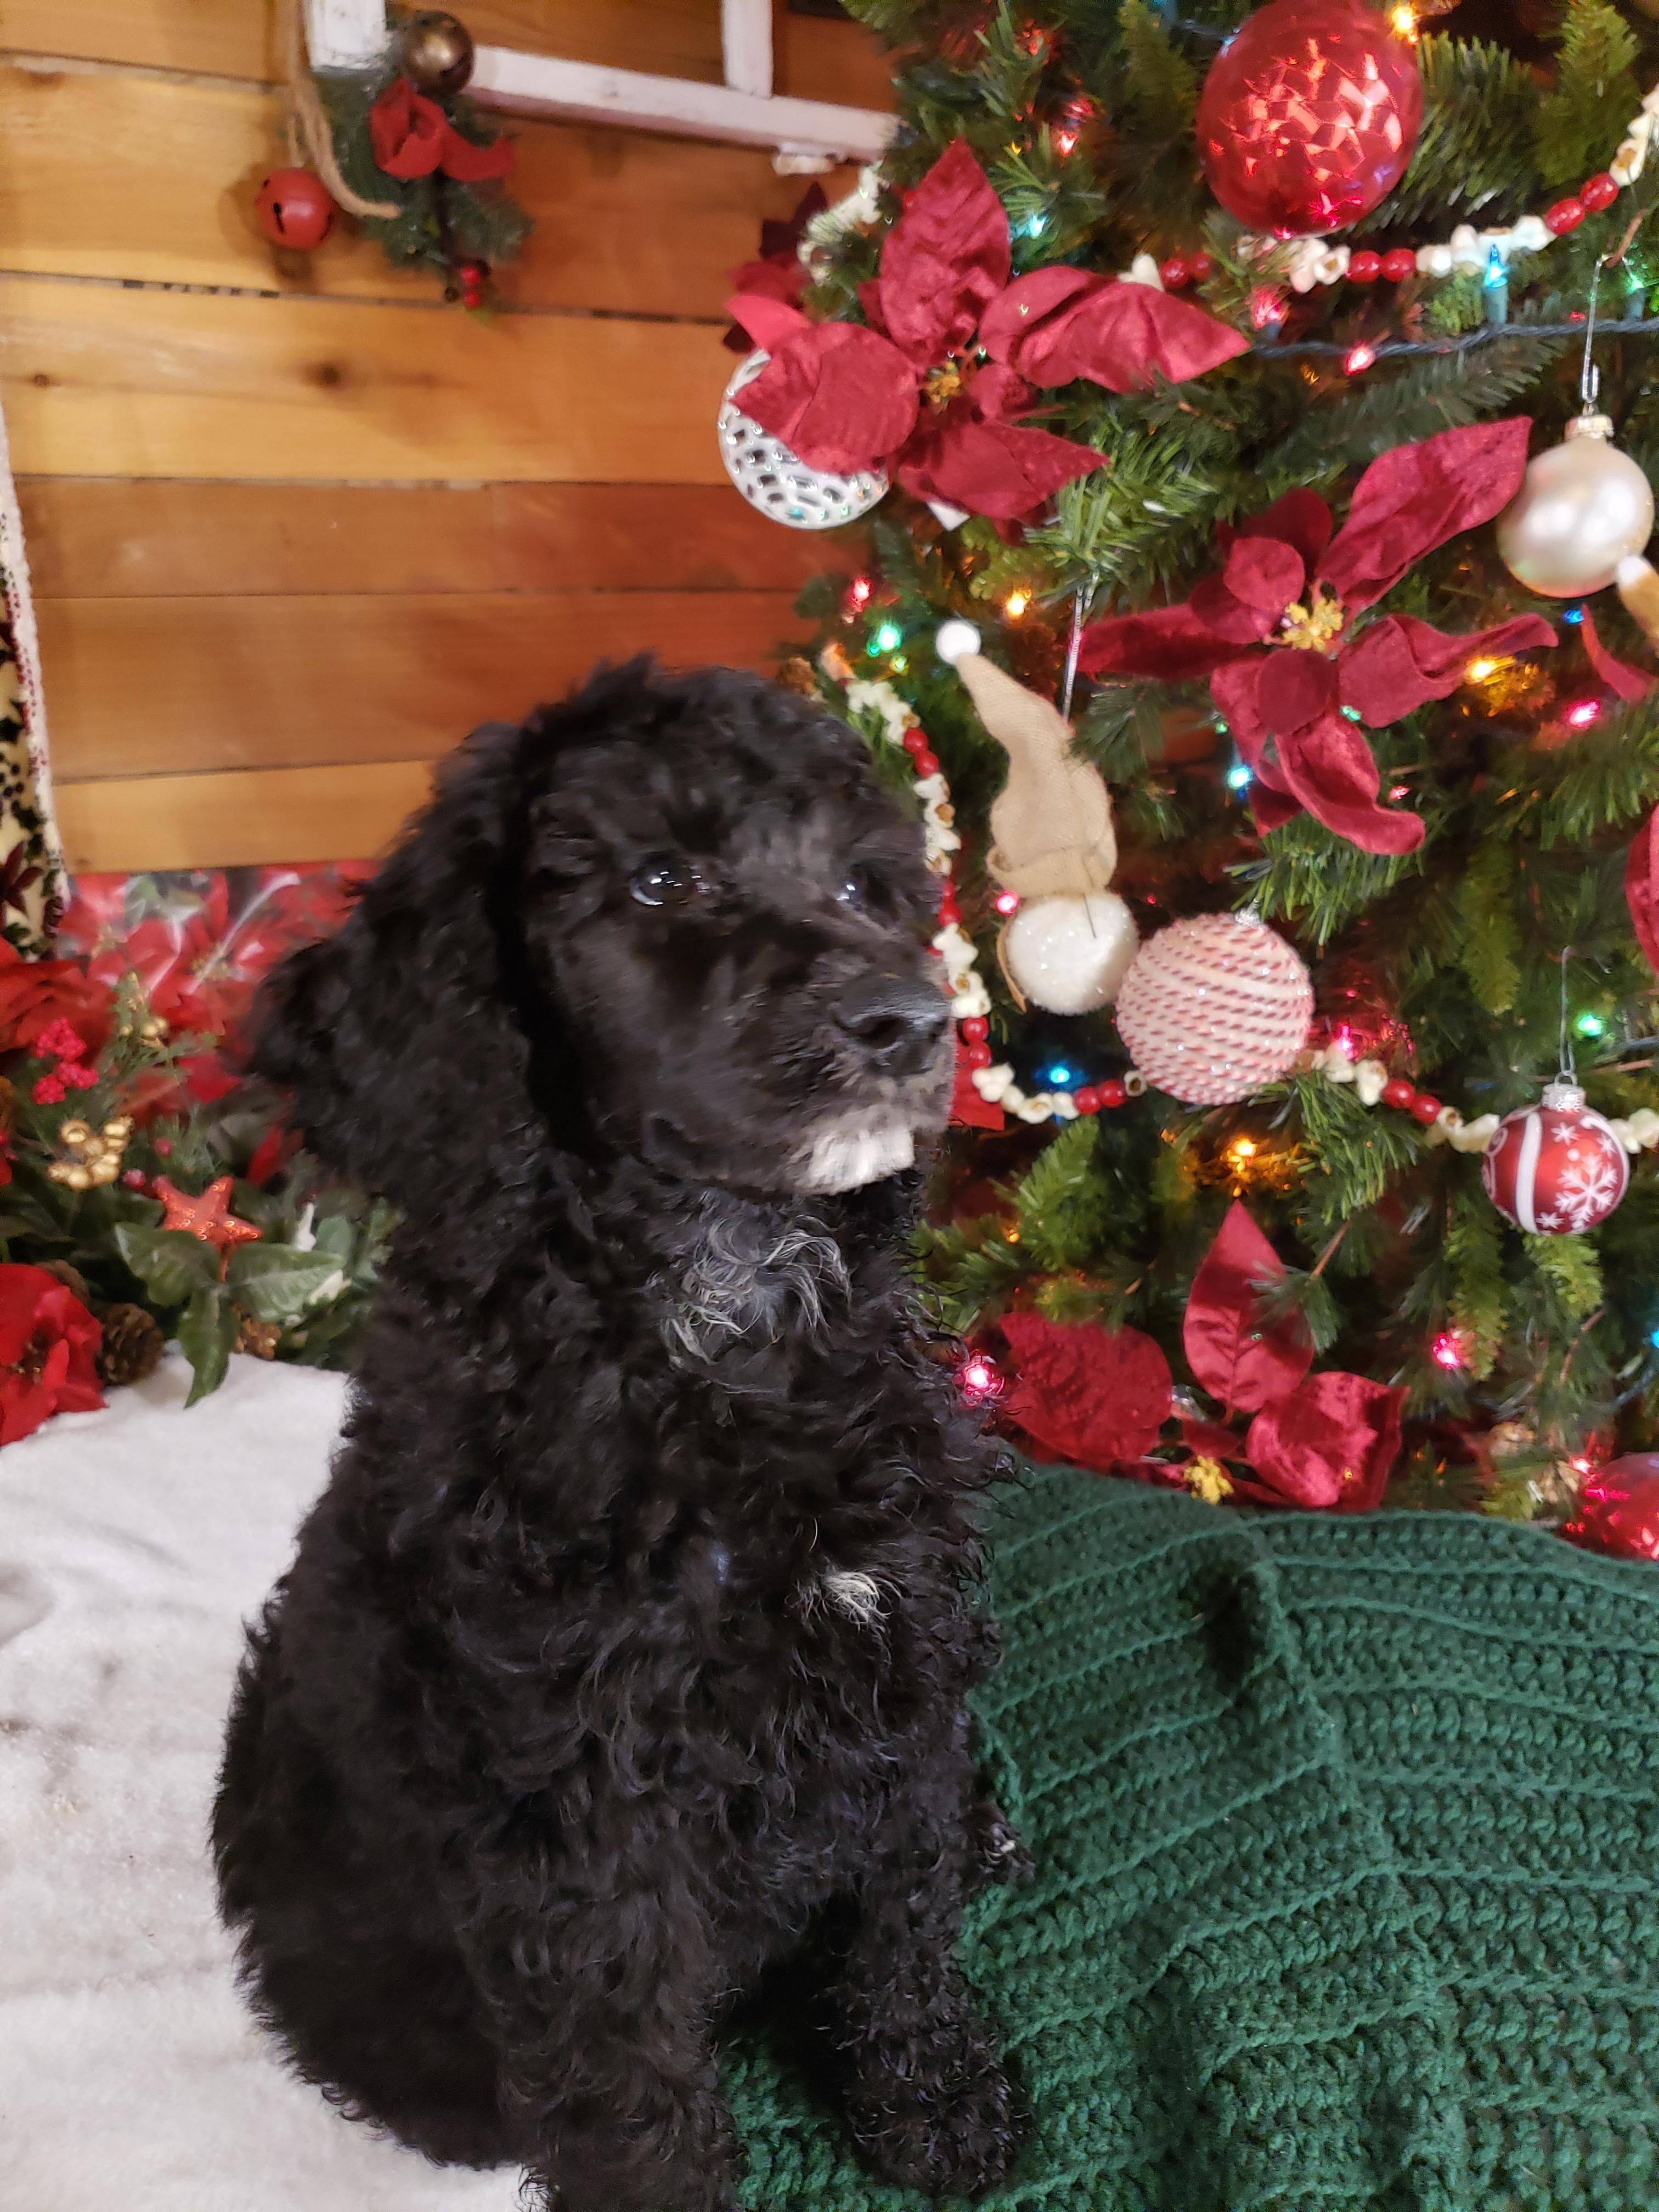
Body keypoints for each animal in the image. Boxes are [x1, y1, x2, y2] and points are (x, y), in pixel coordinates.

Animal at [212, 659, 1026, 2211]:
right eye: (662, 879)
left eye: (867, 885)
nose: (910, 1020)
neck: (724, 1317)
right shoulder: (577, 1809)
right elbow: (632, 2070)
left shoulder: (897, 1657)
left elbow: (901, 1921)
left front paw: (935, 2105)